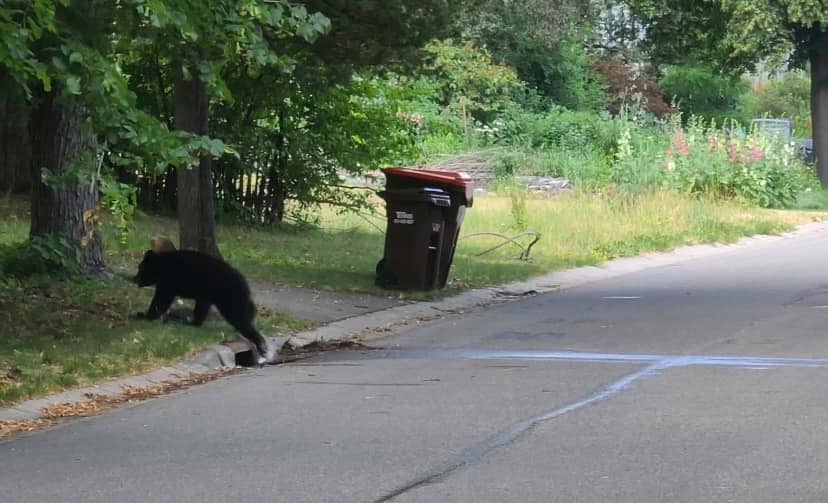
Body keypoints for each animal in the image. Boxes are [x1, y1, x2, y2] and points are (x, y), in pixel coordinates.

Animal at [133, 249, 276, 364]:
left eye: (140, 268)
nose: (135, 279)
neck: (163, 266)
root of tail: (245, 284)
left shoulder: (170, 280)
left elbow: (161, 299)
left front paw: (145, 315)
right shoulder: (201, 293)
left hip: (229, 297)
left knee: (239, 317)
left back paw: (259, 343)